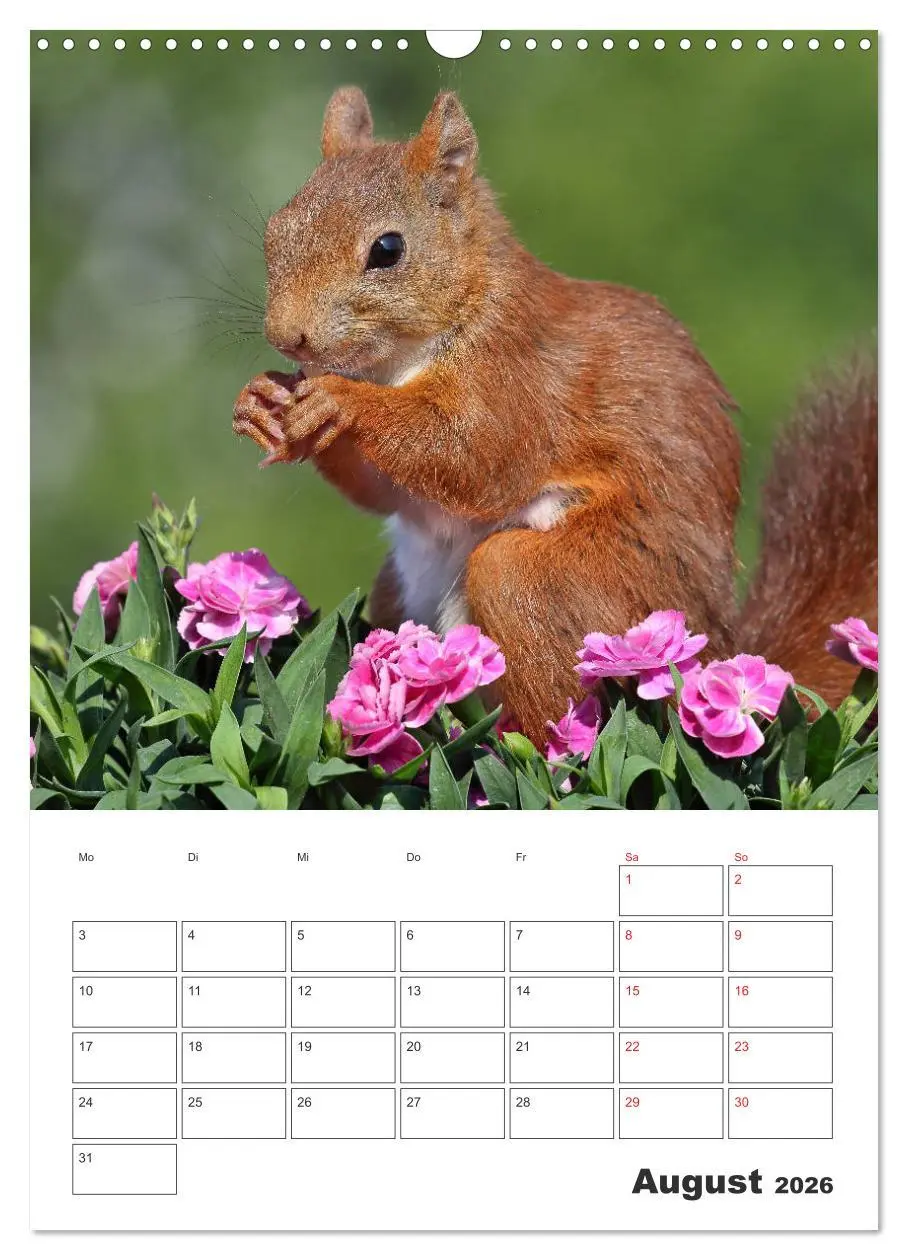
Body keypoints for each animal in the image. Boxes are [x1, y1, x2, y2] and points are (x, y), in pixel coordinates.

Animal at [233, 87, 877, 744]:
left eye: (387, 250)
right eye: (276, 230)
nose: (288, 337)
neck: (401, 361)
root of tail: (718, 645)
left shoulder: (520, 377)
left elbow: (475, 458)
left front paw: (341, 400)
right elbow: (388, 492)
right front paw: (263, 401)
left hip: (578, 586)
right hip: (397, 589)